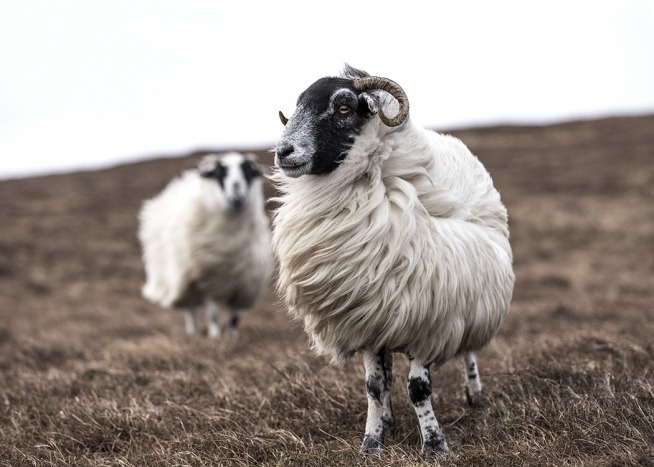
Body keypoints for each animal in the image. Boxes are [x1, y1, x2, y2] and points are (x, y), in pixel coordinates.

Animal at [139, 152, 273, 338]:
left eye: (248, 172)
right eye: (219, 173)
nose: (236, 197)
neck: (229, 242)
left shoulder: (244, 284)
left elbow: (234, 316)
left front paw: (231, 337)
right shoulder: (208, 281)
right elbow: (213, 314)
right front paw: (215, 337)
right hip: (183, 280)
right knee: (190, 309)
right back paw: (193, 332)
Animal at [271, 65, 515, 456]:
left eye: (343, 107)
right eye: (297, 106)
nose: (283, 151)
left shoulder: (429, 316)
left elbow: (418, 388)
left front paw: (434, 444)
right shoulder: (368, 316)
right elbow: (374, 385)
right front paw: (372, 441)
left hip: (470, 297)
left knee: (468, 351)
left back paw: (475, 396)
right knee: (385, 373)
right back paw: (388, 421)